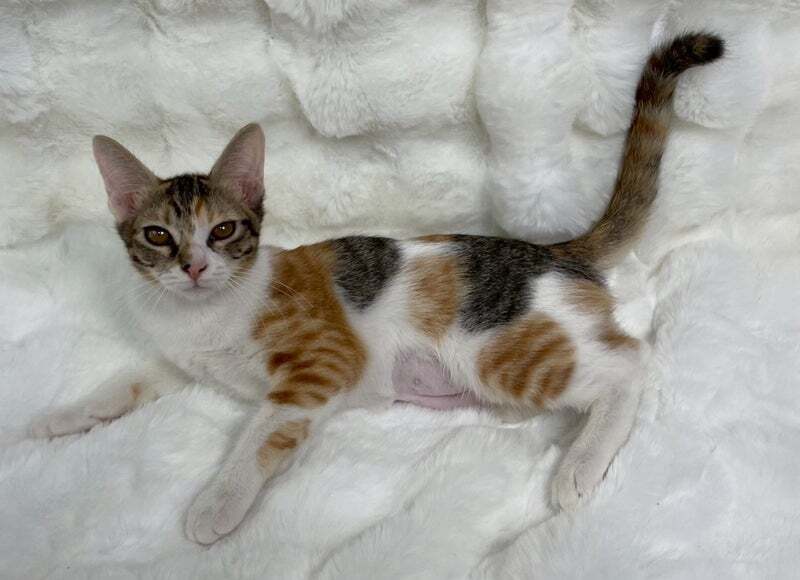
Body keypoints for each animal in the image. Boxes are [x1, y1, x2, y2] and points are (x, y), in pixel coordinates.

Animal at [29, 33, 723, 545]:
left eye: (223, 230)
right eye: (157, 236)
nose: (194, 266)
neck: (209, 311)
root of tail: (554, 250)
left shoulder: (320, 362)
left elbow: (260, 435)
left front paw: (217, 503)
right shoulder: (183, 355)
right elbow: (133, 379)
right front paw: (66, 415)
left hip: (498, 350)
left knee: (630, 362)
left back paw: (580, 463)